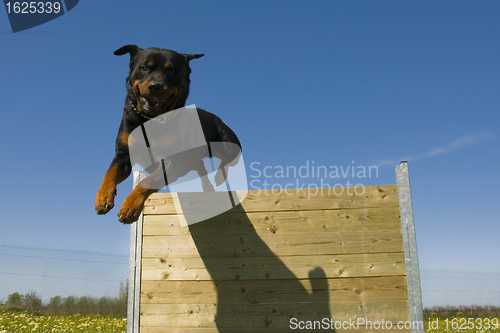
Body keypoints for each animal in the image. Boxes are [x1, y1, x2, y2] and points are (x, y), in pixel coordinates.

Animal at [95, 44, 242, 222]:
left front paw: (130, 206)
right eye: (144, 68)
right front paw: (102, 197)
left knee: (230, 159)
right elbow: (109, 173)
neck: (148, 120)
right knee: (200, 165)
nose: (155, 86)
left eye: (171, 71)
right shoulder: (124, 154)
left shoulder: (172, 161)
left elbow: (148, 181)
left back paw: (219, 176)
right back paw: (208, 187)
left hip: (227, 143)